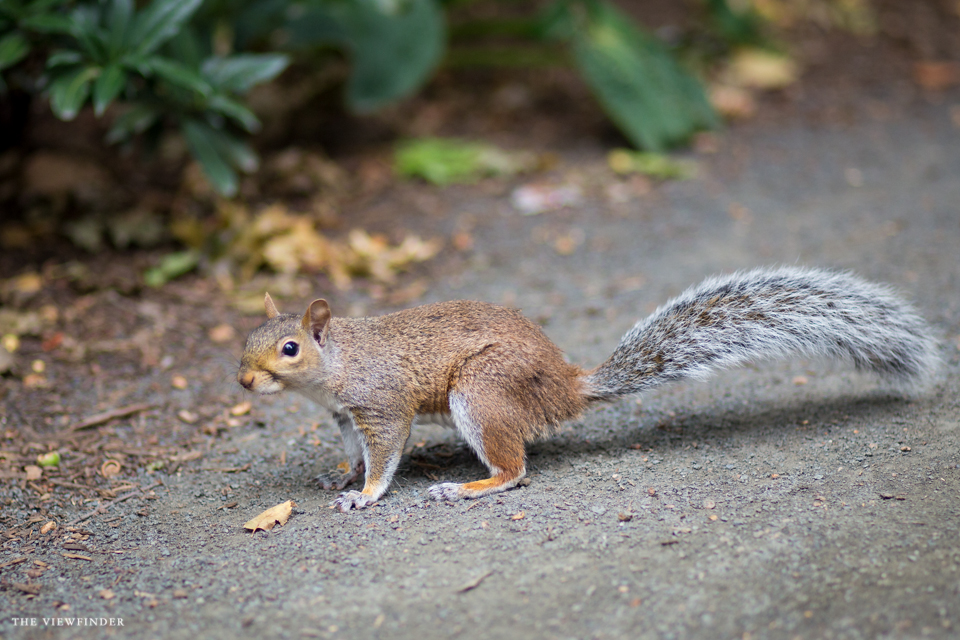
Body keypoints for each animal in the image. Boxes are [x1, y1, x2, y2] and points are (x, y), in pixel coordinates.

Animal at [237, 266, 939, 512]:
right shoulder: (344, 418)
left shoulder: (380, 407)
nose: (244, 379)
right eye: (245, 340)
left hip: (481, 393)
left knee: (515, 470)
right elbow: (354, 454)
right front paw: (341, 477)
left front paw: (365, 496)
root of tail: (564, 387)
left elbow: (383, 458)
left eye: (290, 349)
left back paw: (466, 486)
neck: (335, 368)